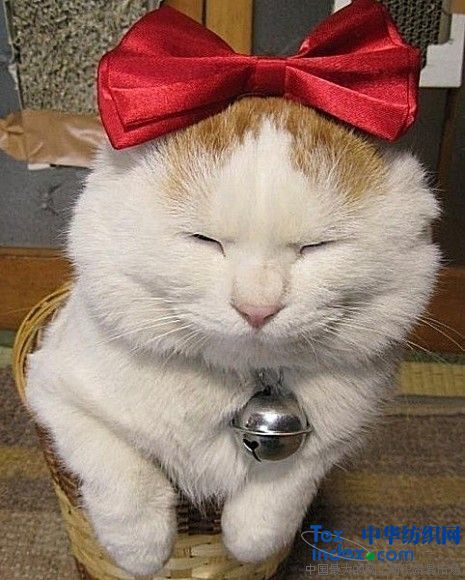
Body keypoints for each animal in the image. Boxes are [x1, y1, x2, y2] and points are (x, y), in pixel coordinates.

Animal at [26, 97, 440, 575]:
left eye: (316, 247)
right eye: (204, 240)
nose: (257, 307)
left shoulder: (342, 431)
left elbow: (287, 484)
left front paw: (250, 540)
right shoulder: (52, 388)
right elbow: (123, 468)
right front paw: (139, 551)